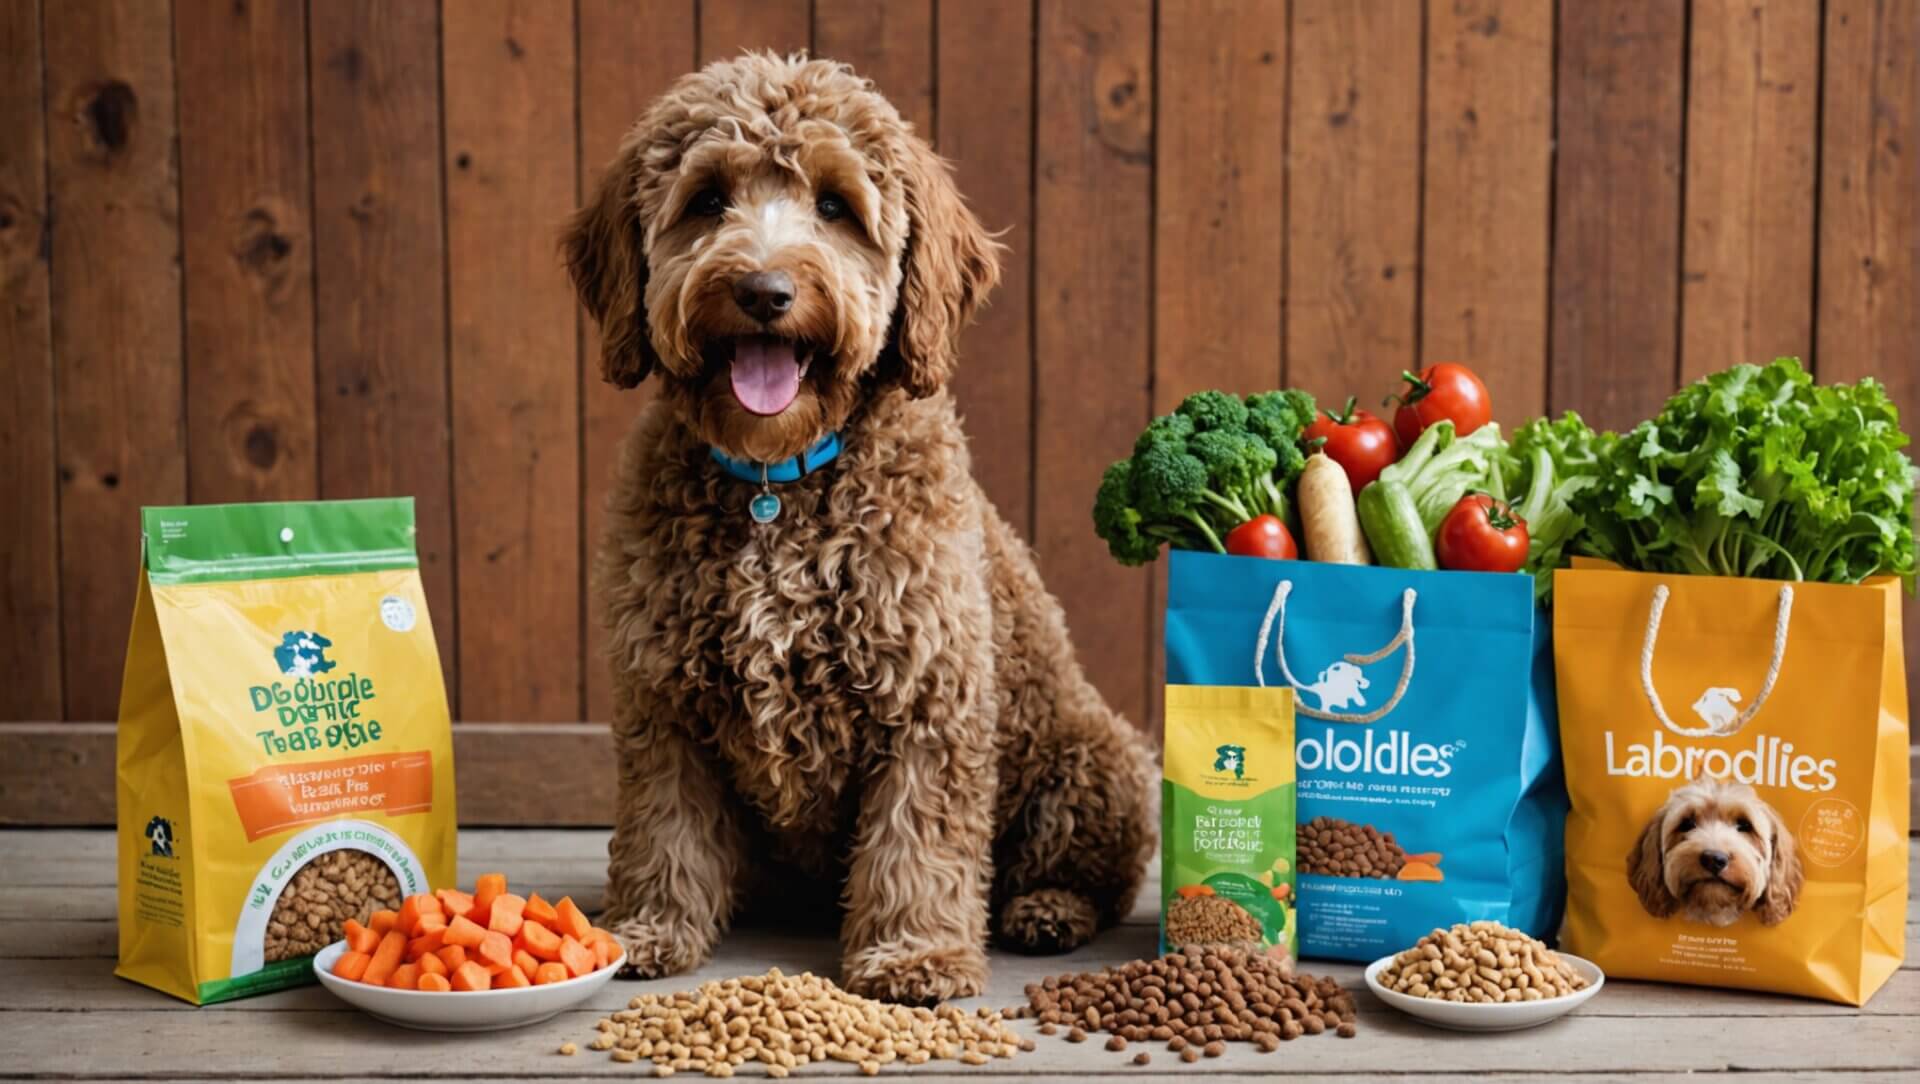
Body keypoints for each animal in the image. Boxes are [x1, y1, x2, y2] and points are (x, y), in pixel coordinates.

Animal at [560, 48, 1152, 997]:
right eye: (708, 200)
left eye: (836, 206)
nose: (764, 289)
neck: (776, 479)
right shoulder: (664, 700)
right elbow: (664, 826)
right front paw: (650, 927)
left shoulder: (930, 699)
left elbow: (918, 839)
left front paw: (915, 952)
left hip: (1095, 764)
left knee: (1083, 871)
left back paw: (1046, 911)